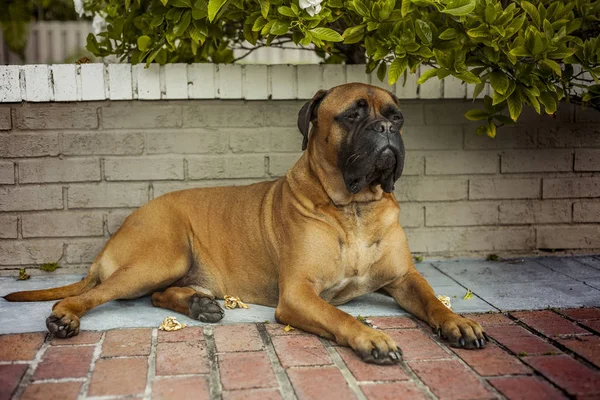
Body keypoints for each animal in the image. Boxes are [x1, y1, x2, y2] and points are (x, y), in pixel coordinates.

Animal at [5, 83, 488, 364]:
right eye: (353, 114)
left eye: (396, 115)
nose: (388, 129)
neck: (354, 207)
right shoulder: (298, 295)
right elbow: (339, 314)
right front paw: (372, 338)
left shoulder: (404, 278)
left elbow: (432, 300)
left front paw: (457, 322)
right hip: (161, 256)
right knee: (92, 295)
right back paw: (64, 318)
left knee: (157, 294)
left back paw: (198, 305)